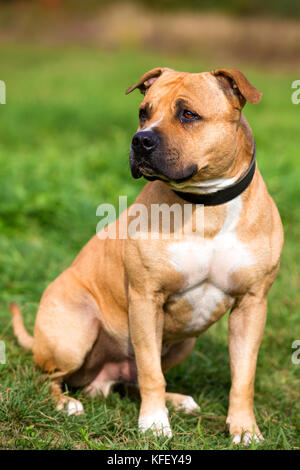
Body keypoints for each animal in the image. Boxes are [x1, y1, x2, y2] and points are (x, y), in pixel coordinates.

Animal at [10, 66, 284, 444]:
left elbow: (244, 376)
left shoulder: (252, 304)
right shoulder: (145, 298)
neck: (206, 205)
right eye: (144, 112)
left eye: (188, 114)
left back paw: (177, 400)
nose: (141, 140)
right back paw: (66, 404)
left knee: (134, 380)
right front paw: (154, 423)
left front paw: (244, 429)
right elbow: (152, 372)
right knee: (50, 378)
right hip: (73, 333)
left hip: (184, 343)